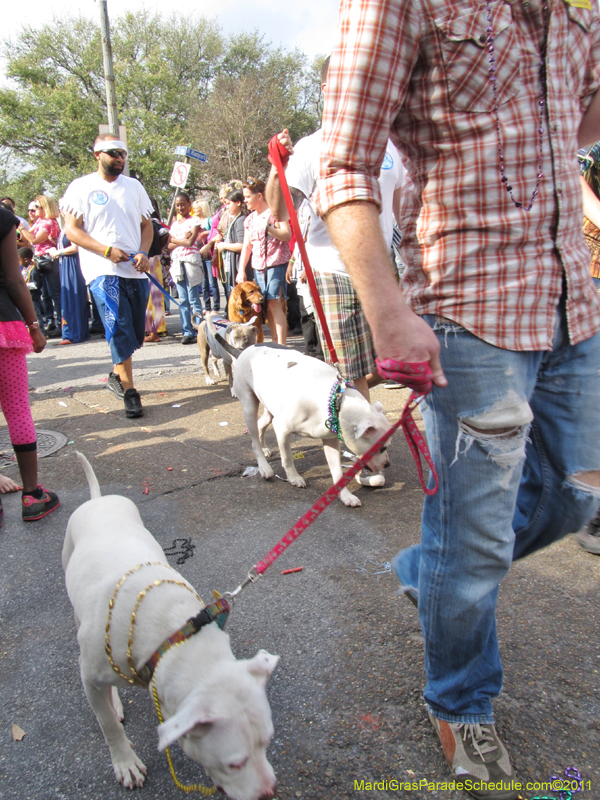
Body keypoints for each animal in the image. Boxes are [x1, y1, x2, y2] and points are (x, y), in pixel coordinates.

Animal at [62, 454, 278, 800]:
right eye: (235, 763)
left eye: (267, 742)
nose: (270, 792)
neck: (172, 637)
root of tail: (98, 500)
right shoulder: (90, 675)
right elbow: (107, 724)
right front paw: (125, 762)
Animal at [231, 344, 394, 506]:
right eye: (382, 448)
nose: (387, 464)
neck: (335, 402)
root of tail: (246, 349)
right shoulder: (282, 429)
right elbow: (287, 457)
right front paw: (293, 477)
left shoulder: (330, 441)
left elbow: (337, 471)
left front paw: (345, 496)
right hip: (249, 406)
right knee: (254, 439)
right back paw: (264, 467)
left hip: (269, 408)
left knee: (261, 424)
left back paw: (264, 448)